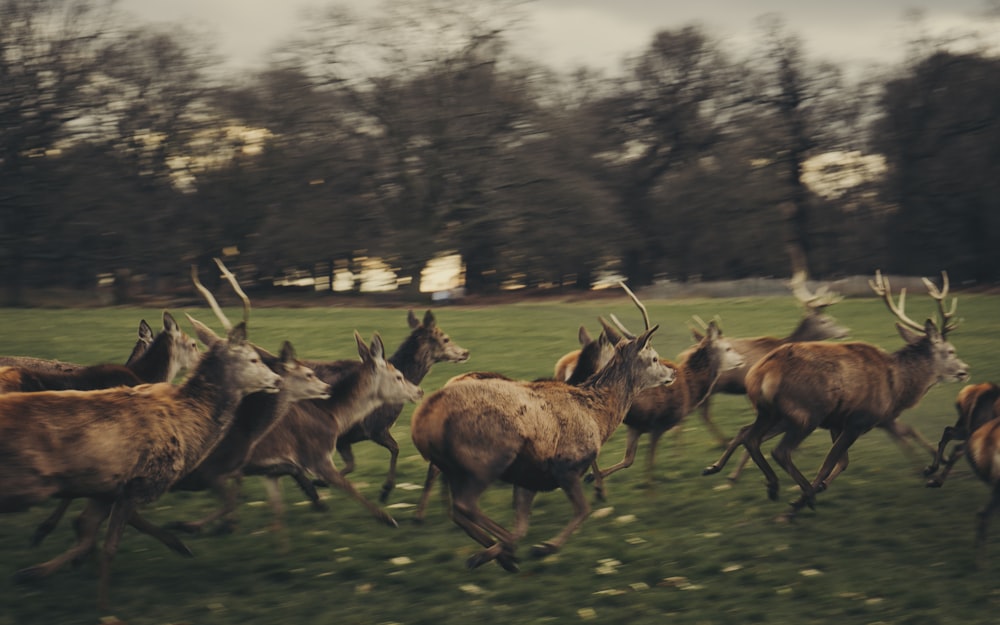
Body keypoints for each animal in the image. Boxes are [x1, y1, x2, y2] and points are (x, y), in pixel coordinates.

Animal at [330, 310, 466, 504]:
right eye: (446, 338)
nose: (465, 352)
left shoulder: (348, 437)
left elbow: (349, 466)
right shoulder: (374, 427)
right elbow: (395, 448)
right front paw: (385, 491)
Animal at [410, 286, 676, 572]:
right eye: (654, 358)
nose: (672, 372)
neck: (598, 416)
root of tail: (423, 421)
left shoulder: (528, 478)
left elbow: (523, 525)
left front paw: (494, 553)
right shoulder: (567, 464)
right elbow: (582, 510)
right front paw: (544, 547)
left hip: (456, 466)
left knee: (457, 509)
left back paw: (499, 553)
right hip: (485, 458)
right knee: (464, 505)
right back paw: (503, 549)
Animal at [584, 320, 744, 500]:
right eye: (728, 348)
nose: (742, 359)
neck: (691, 391)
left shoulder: (636, 426)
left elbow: (628, 460)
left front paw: (592, 477)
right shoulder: (659, 424)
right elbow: (649, 461)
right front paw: (650, 491)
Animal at [704, 270, 968, 520]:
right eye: (951, 351)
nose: (965, 370)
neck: (899, 387)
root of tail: (763, 372)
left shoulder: (838, 422)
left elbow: (842, 462)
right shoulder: (859, 421)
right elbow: (830, 463)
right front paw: (797, 505)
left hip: (771, 413)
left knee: (749, 436)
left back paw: (752, 479)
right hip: (806, 414)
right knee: (779, 450)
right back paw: (799, 494)